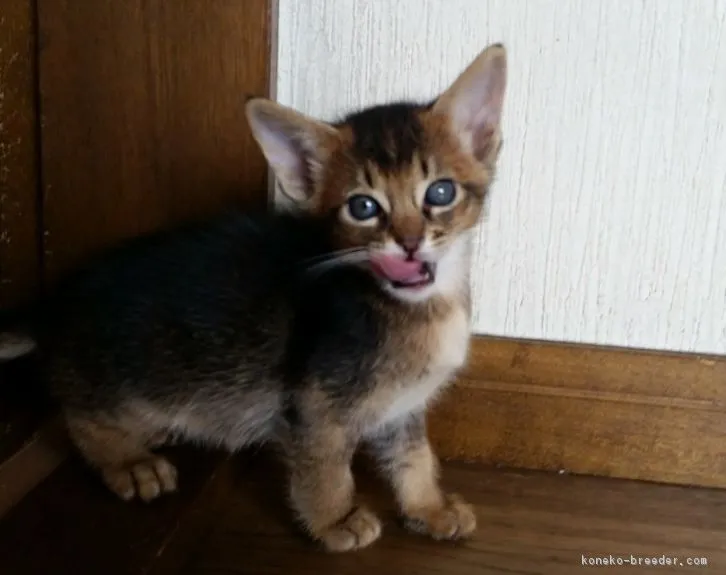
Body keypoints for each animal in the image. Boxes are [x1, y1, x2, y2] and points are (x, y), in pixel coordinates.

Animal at [0, 42, 510, 552]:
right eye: (363, 206)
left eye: (440, 192)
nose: (409, 242)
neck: (418, 307)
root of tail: (56, 301)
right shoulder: (314, 403)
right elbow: (325, 468)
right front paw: (335, 520)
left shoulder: (401, 406)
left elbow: (414, 456)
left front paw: (429, 508)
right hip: (118, 375)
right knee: (79, 415)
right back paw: (129, 461)